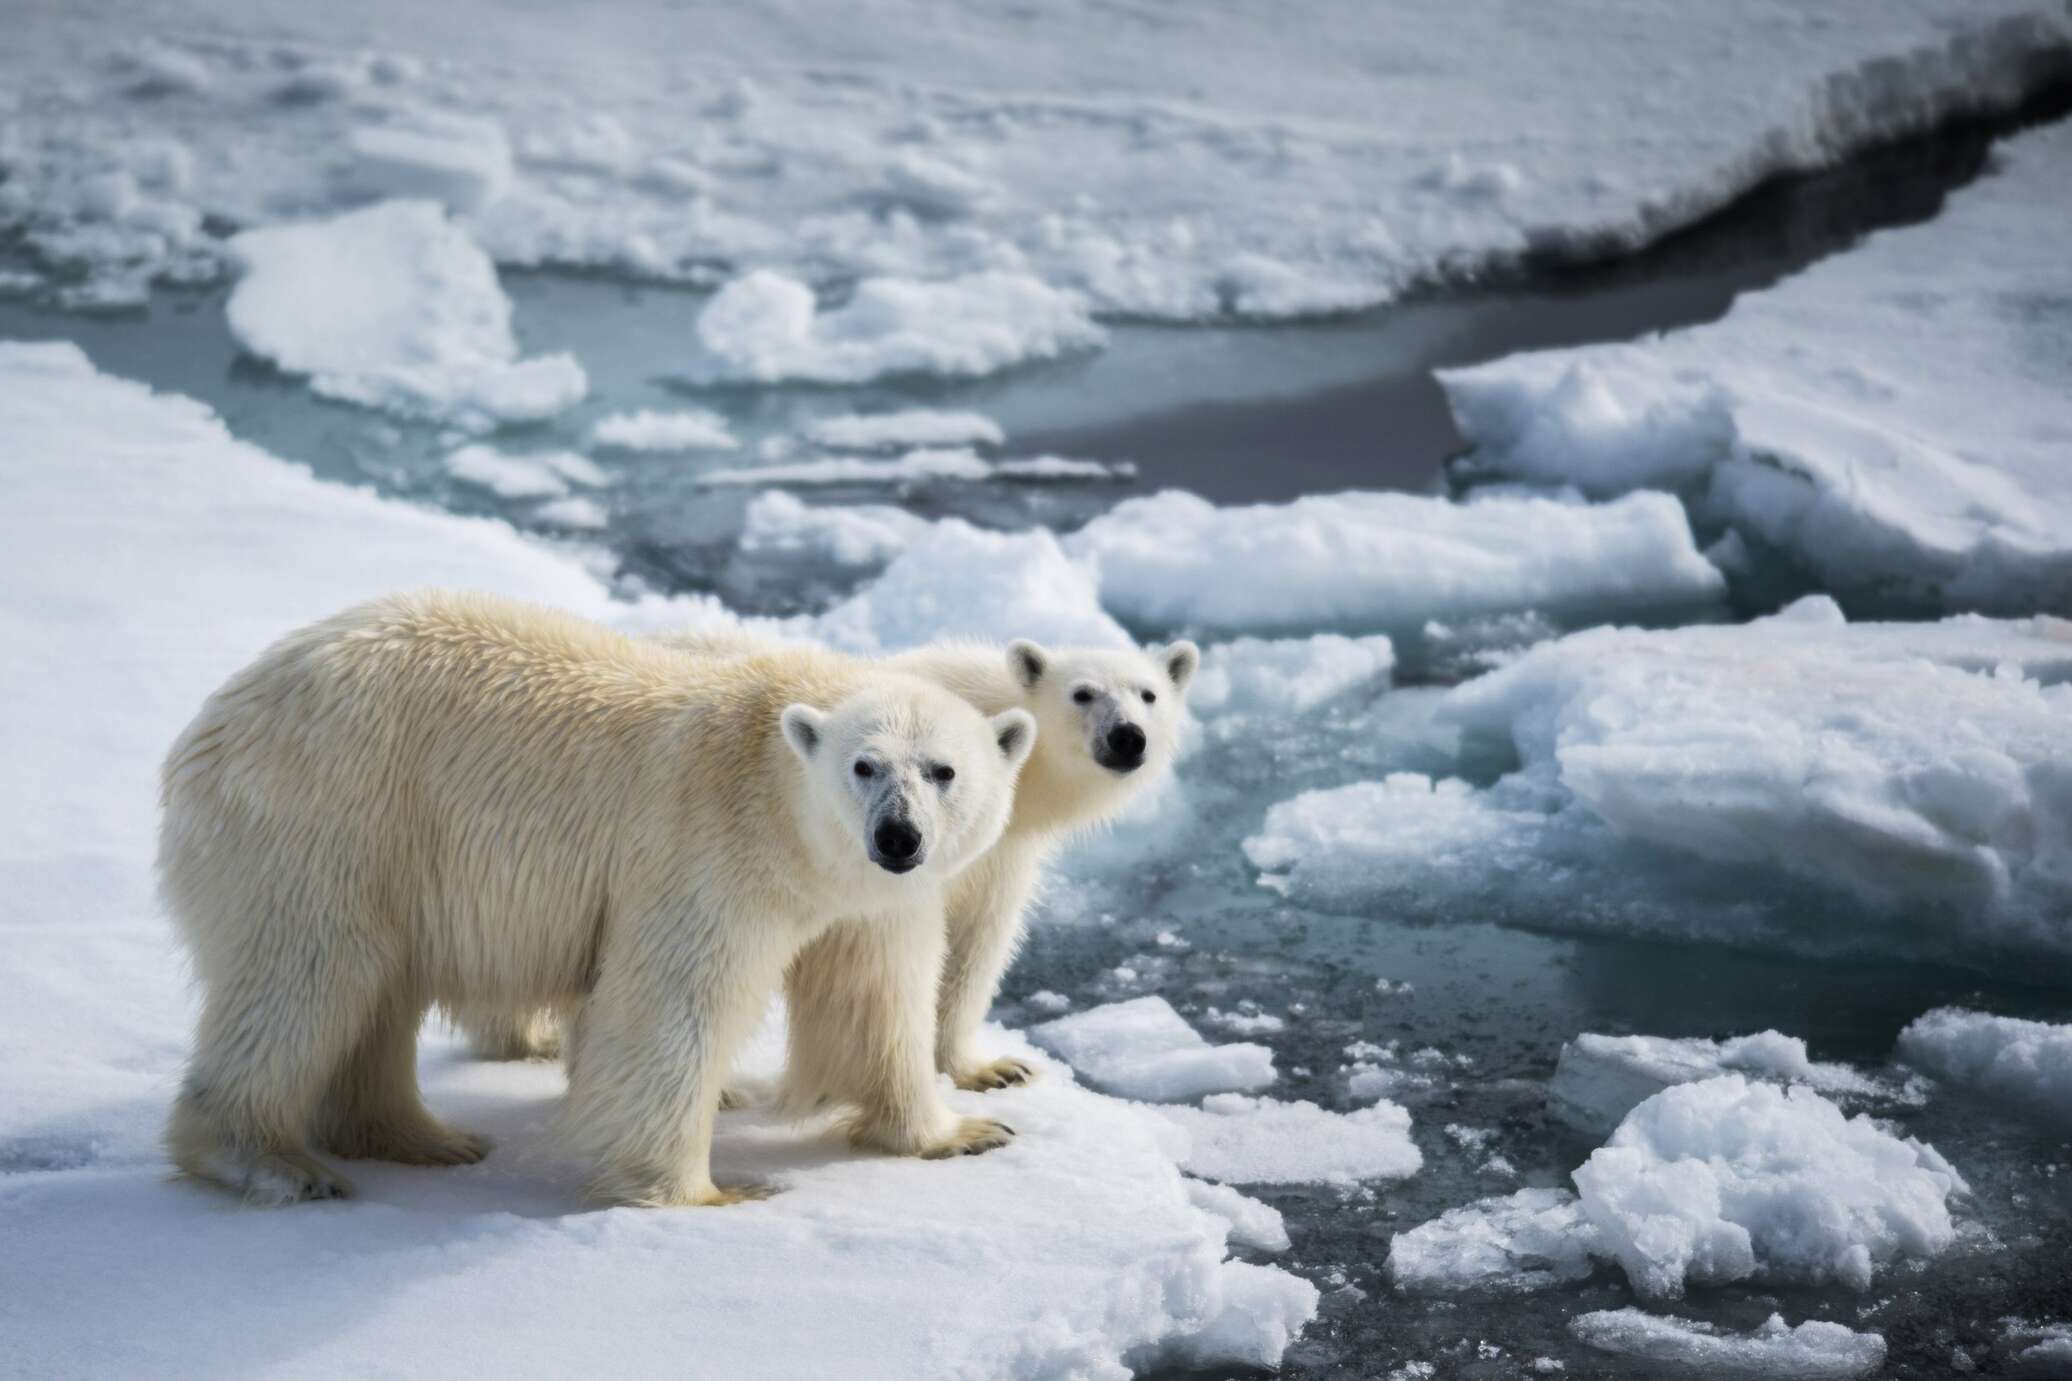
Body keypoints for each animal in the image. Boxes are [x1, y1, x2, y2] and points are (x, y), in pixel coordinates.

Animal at [157, 596, 1036, 1209]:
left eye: (943, 769)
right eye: (864, 764)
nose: (898, 836)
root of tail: (211, 723)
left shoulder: (865, 901)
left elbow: (875, 999)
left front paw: (962, 1131)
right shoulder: (708, 847)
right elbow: (671, 1004)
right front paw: (705, 1192)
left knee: (371, 995)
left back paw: (422, 1138)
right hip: (328, 817)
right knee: (304, 978)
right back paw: (270, 1159)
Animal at [457, 629, 1201, 1101]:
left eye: (1148, 694)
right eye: (1083, 693)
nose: (1127, 737)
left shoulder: (997, 851)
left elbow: (977, 943)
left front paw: (985, 1068)